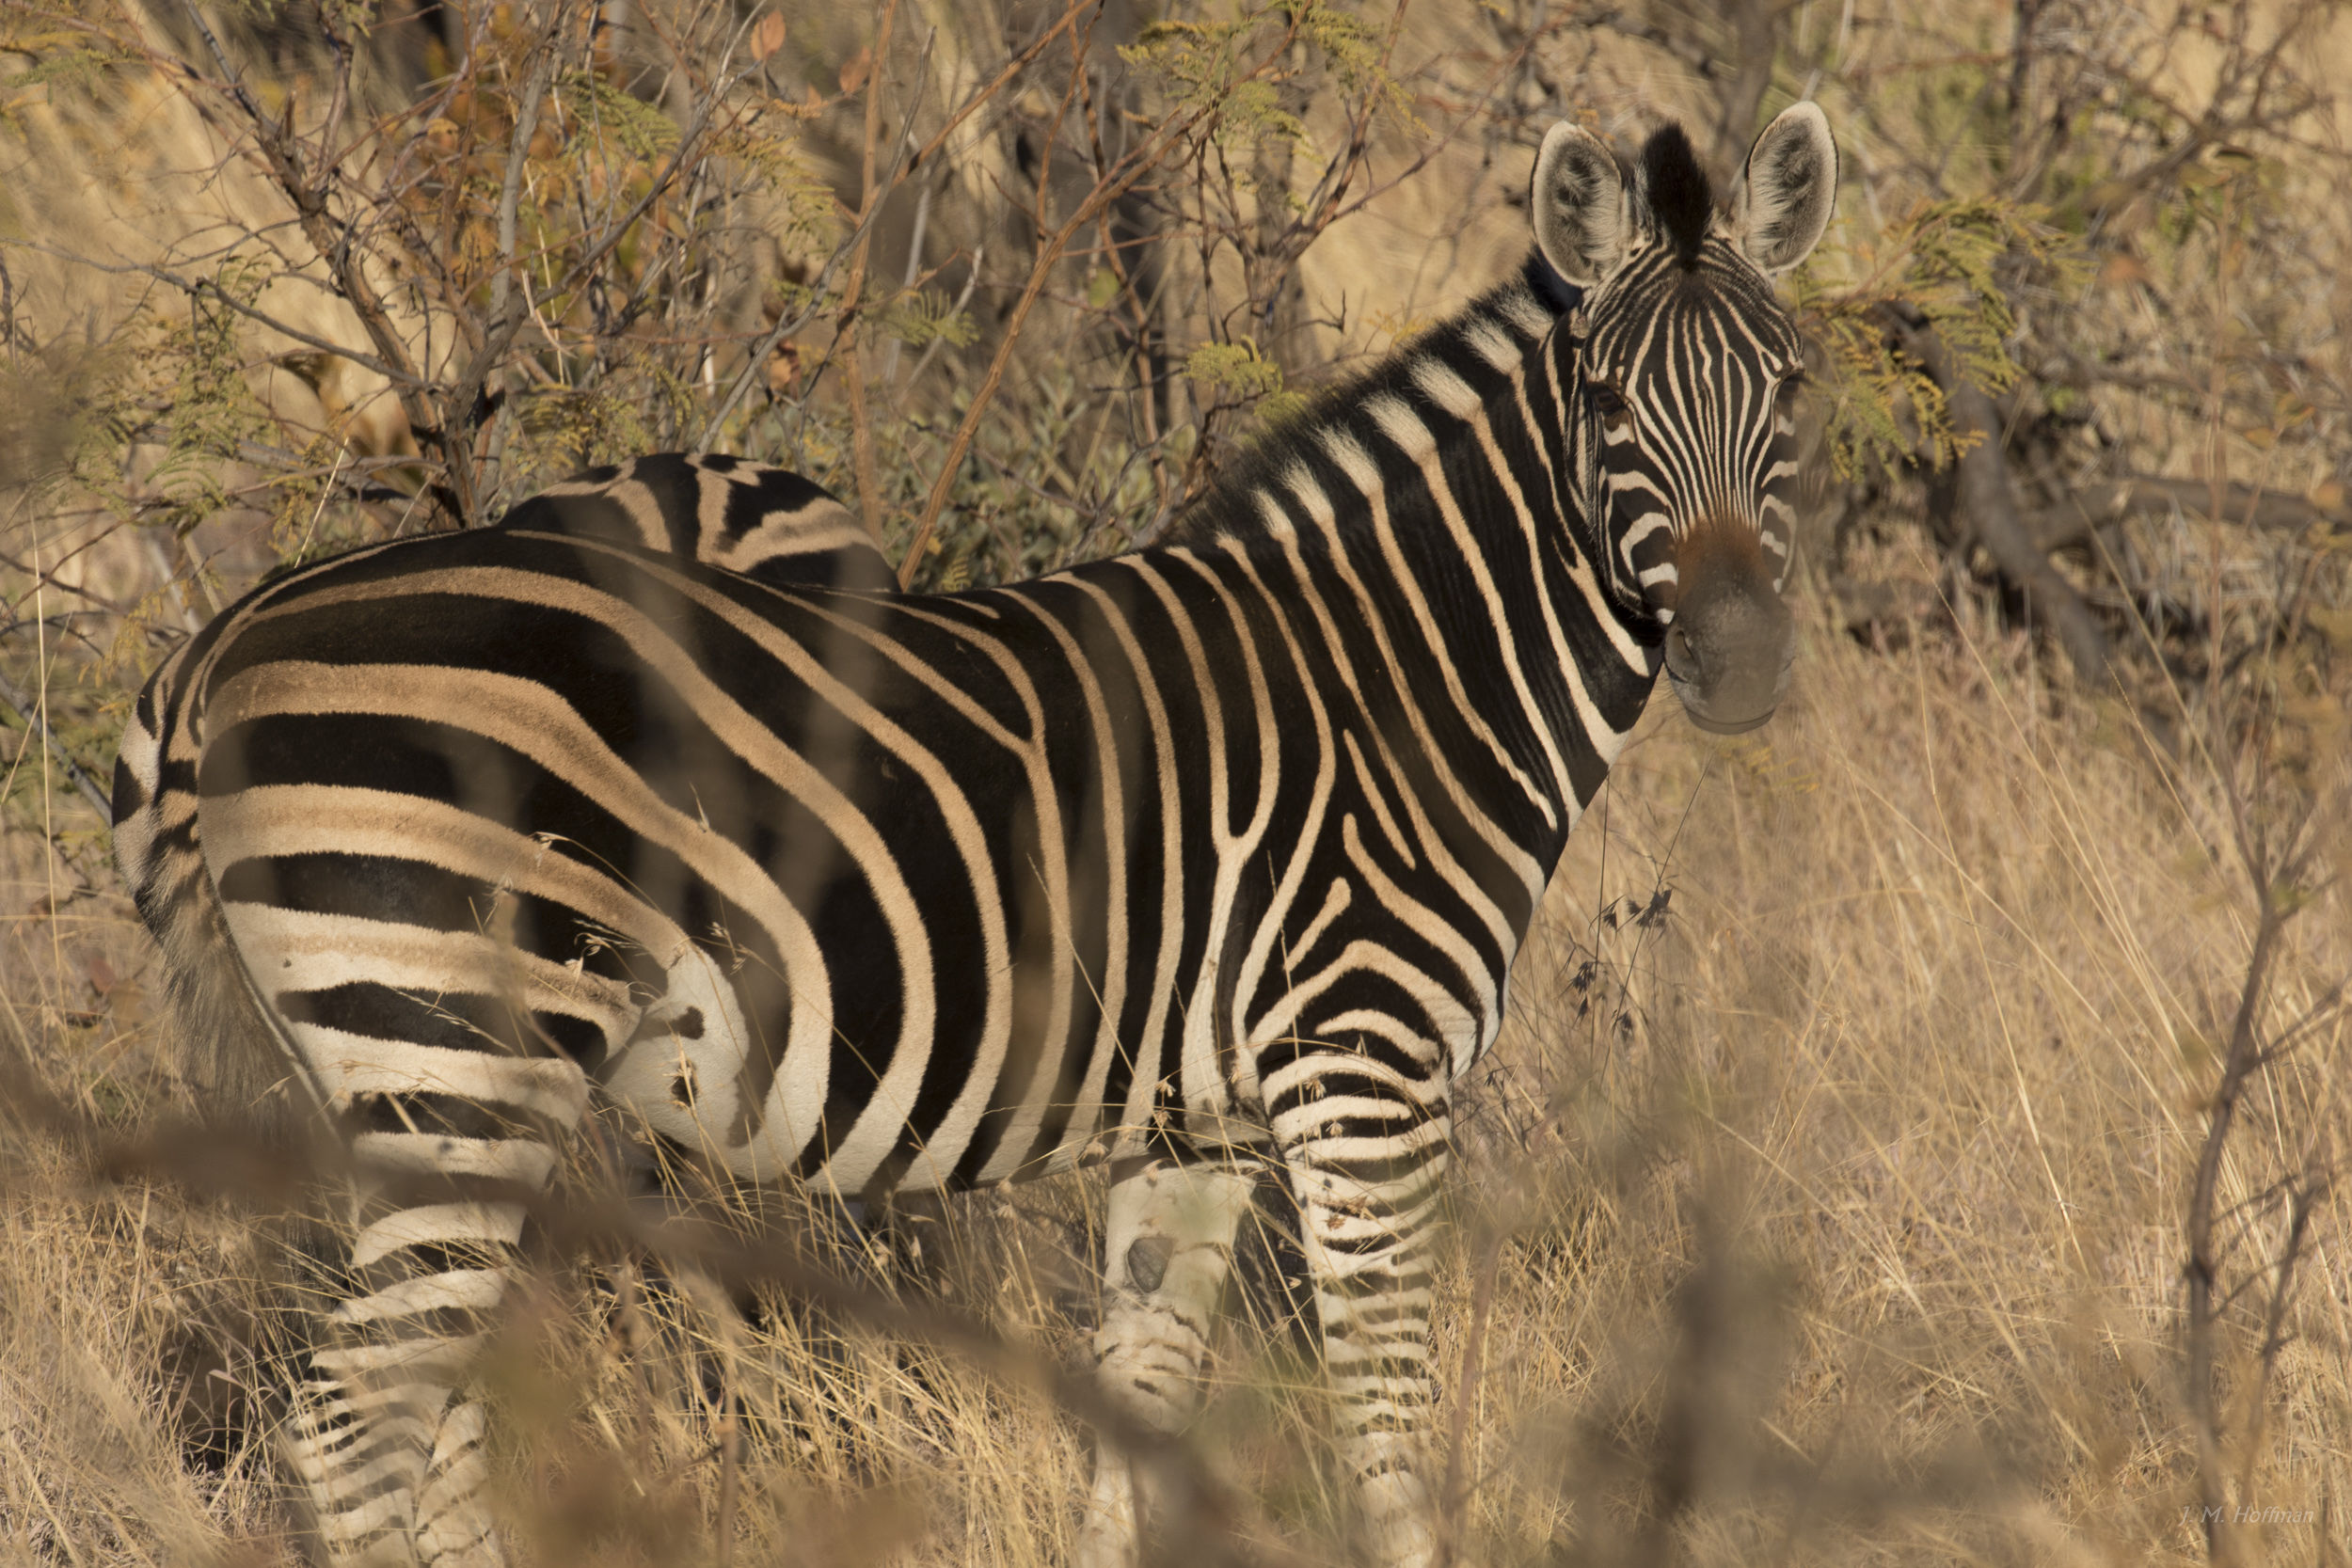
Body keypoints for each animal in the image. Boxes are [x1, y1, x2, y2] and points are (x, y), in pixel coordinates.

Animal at [109, 106, 1836, 1567]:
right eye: (1605, 404)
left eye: (1796, 390)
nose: (1742, 659)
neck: (1398, 677)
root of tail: (238, 628)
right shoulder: (1363, 1079)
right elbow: (1392, 1432)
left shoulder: (1196, 1129)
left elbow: (1139, 1418)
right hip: (459, 1049)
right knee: (351, 1432)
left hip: (401, 1083)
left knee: (431, 1415)